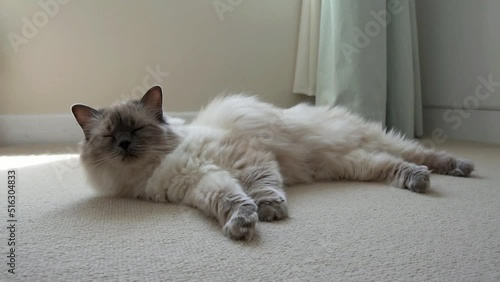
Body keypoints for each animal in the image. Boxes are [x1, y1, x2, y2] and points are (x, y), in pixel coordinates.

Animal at [70, 86, 472, 240]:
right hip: (355, 164)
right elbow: (231, 199)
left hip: (373, 142)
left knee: (416, 153)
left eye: (136, 129)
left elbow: (262, 186)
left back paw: (458, 167)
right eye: (110, 136)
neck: (159, 164)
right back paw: (417, 180)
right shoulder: (204, 181)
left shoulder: (243, 156)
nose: (124, 144)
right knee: (391, 164)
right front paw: (242, 225)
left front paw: (270, 212)